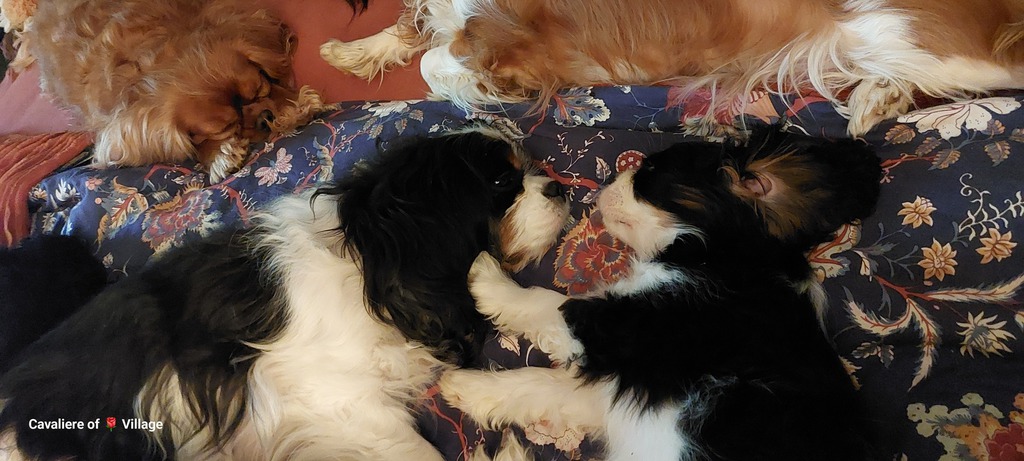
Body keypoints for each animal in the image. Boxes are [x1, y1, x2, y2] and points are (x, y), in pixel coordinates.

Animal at [438, 130, 883, 460]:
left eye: (648, 172)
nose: (609, 179)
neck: (728, 260)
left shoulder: (627, 326)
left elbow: (545, 303)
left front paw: (484, 275)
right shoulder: (624, 389)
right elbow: (540, 386)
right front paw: (467, 389)